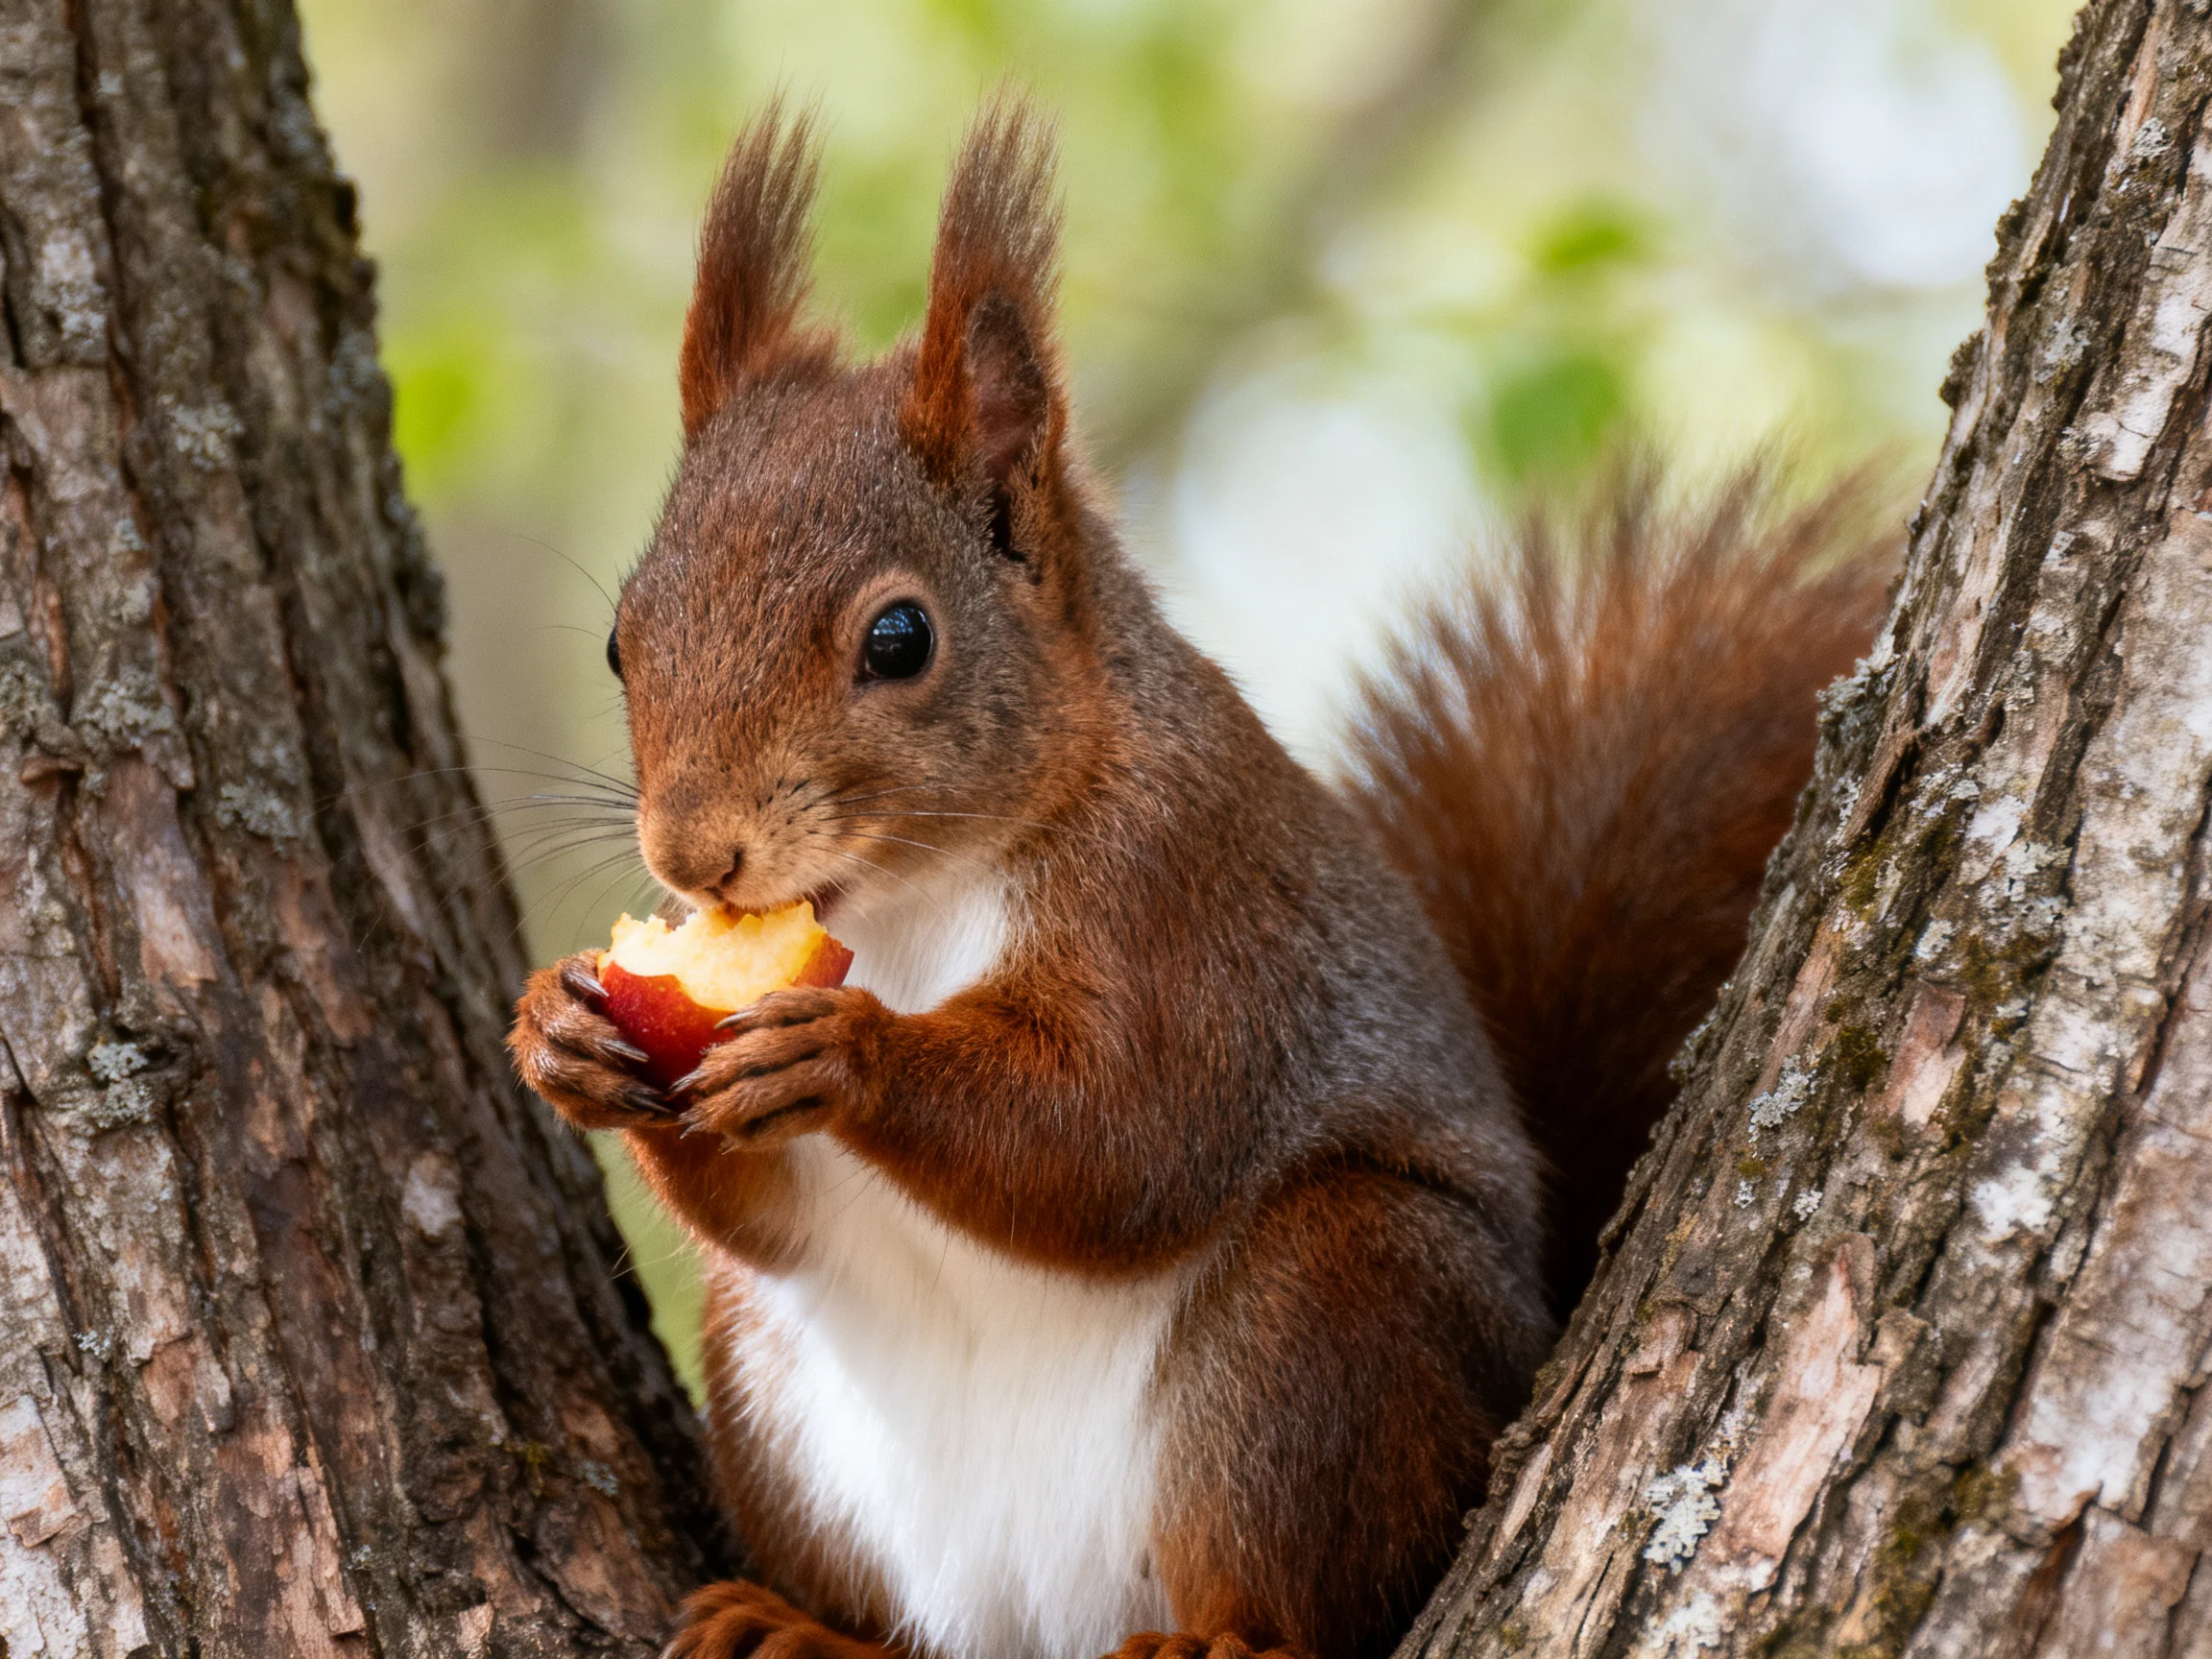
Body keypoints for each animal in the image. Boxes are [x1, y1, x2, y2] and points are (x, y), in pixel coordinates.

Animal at [508, 99, 1893, 1659]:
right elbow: (771, 1216)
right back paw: (804, 1628)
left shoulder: (1195, 906)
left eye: (900, 638)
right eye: (621, 642)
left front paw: (848, 1054)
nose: (696, 854)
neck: (912, 898)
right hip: (779, 1398)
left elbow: (1129, 1134)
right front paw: (557, 1032)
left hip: (1327, 1312)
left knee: (1313, 1584)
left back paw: (1224, 1636)